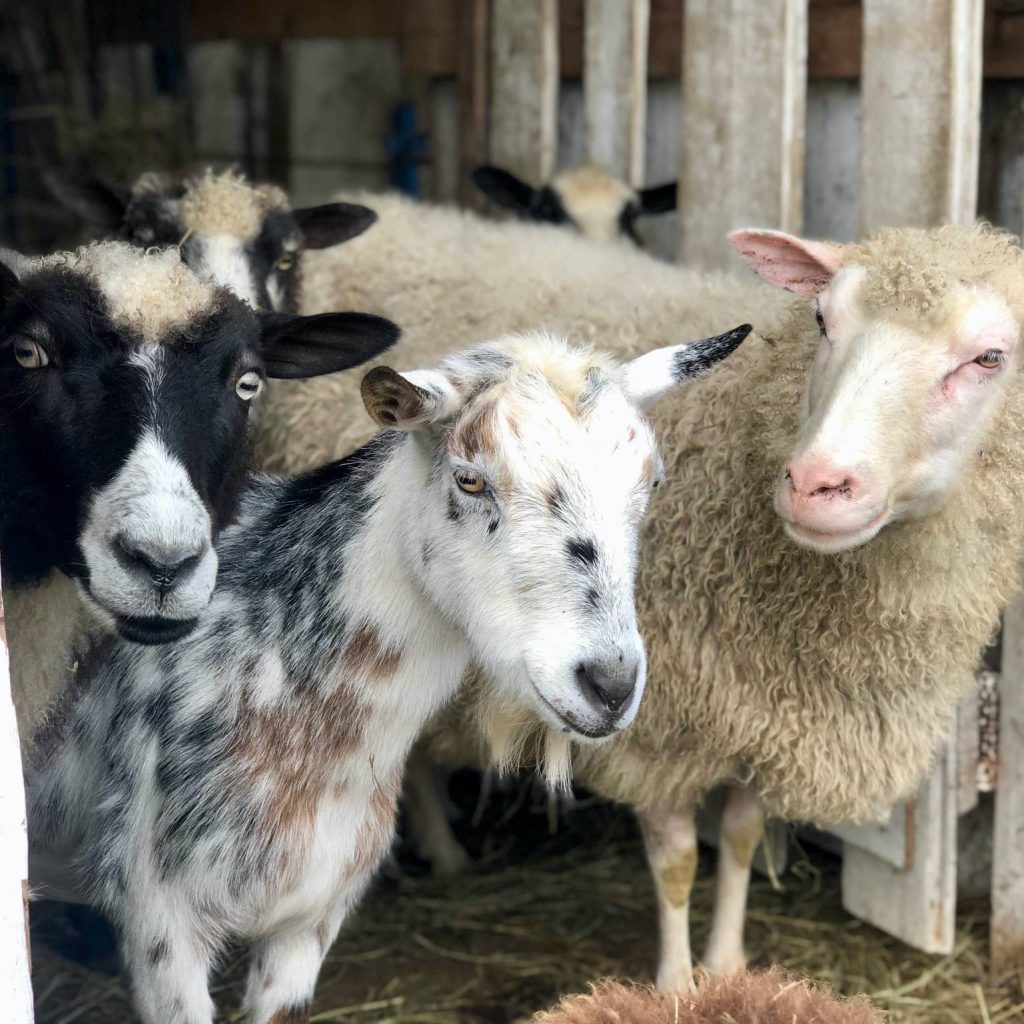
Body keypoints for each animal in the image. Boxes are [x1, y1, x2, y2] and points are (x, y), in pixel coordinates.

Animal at [252, 193, 1024, 992]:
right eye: (821, 320)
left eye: (990, 357)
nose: (815, 482)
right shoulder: (656, 728)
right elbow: (679, 862)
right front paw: (679, 985)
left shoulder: (764, 711)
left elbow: (741, 838)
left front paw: (728, 967)